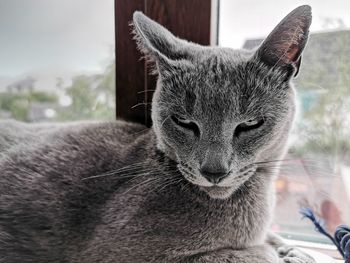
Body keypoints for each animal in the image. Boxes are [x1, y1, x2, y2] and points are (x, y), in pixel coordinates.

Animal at [0, 4, 316, 263]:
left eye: (250, 123)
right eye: (184, 122)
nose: (214, 171)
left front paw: (293, 250)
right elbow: (243, 256)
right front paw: (274, 252)